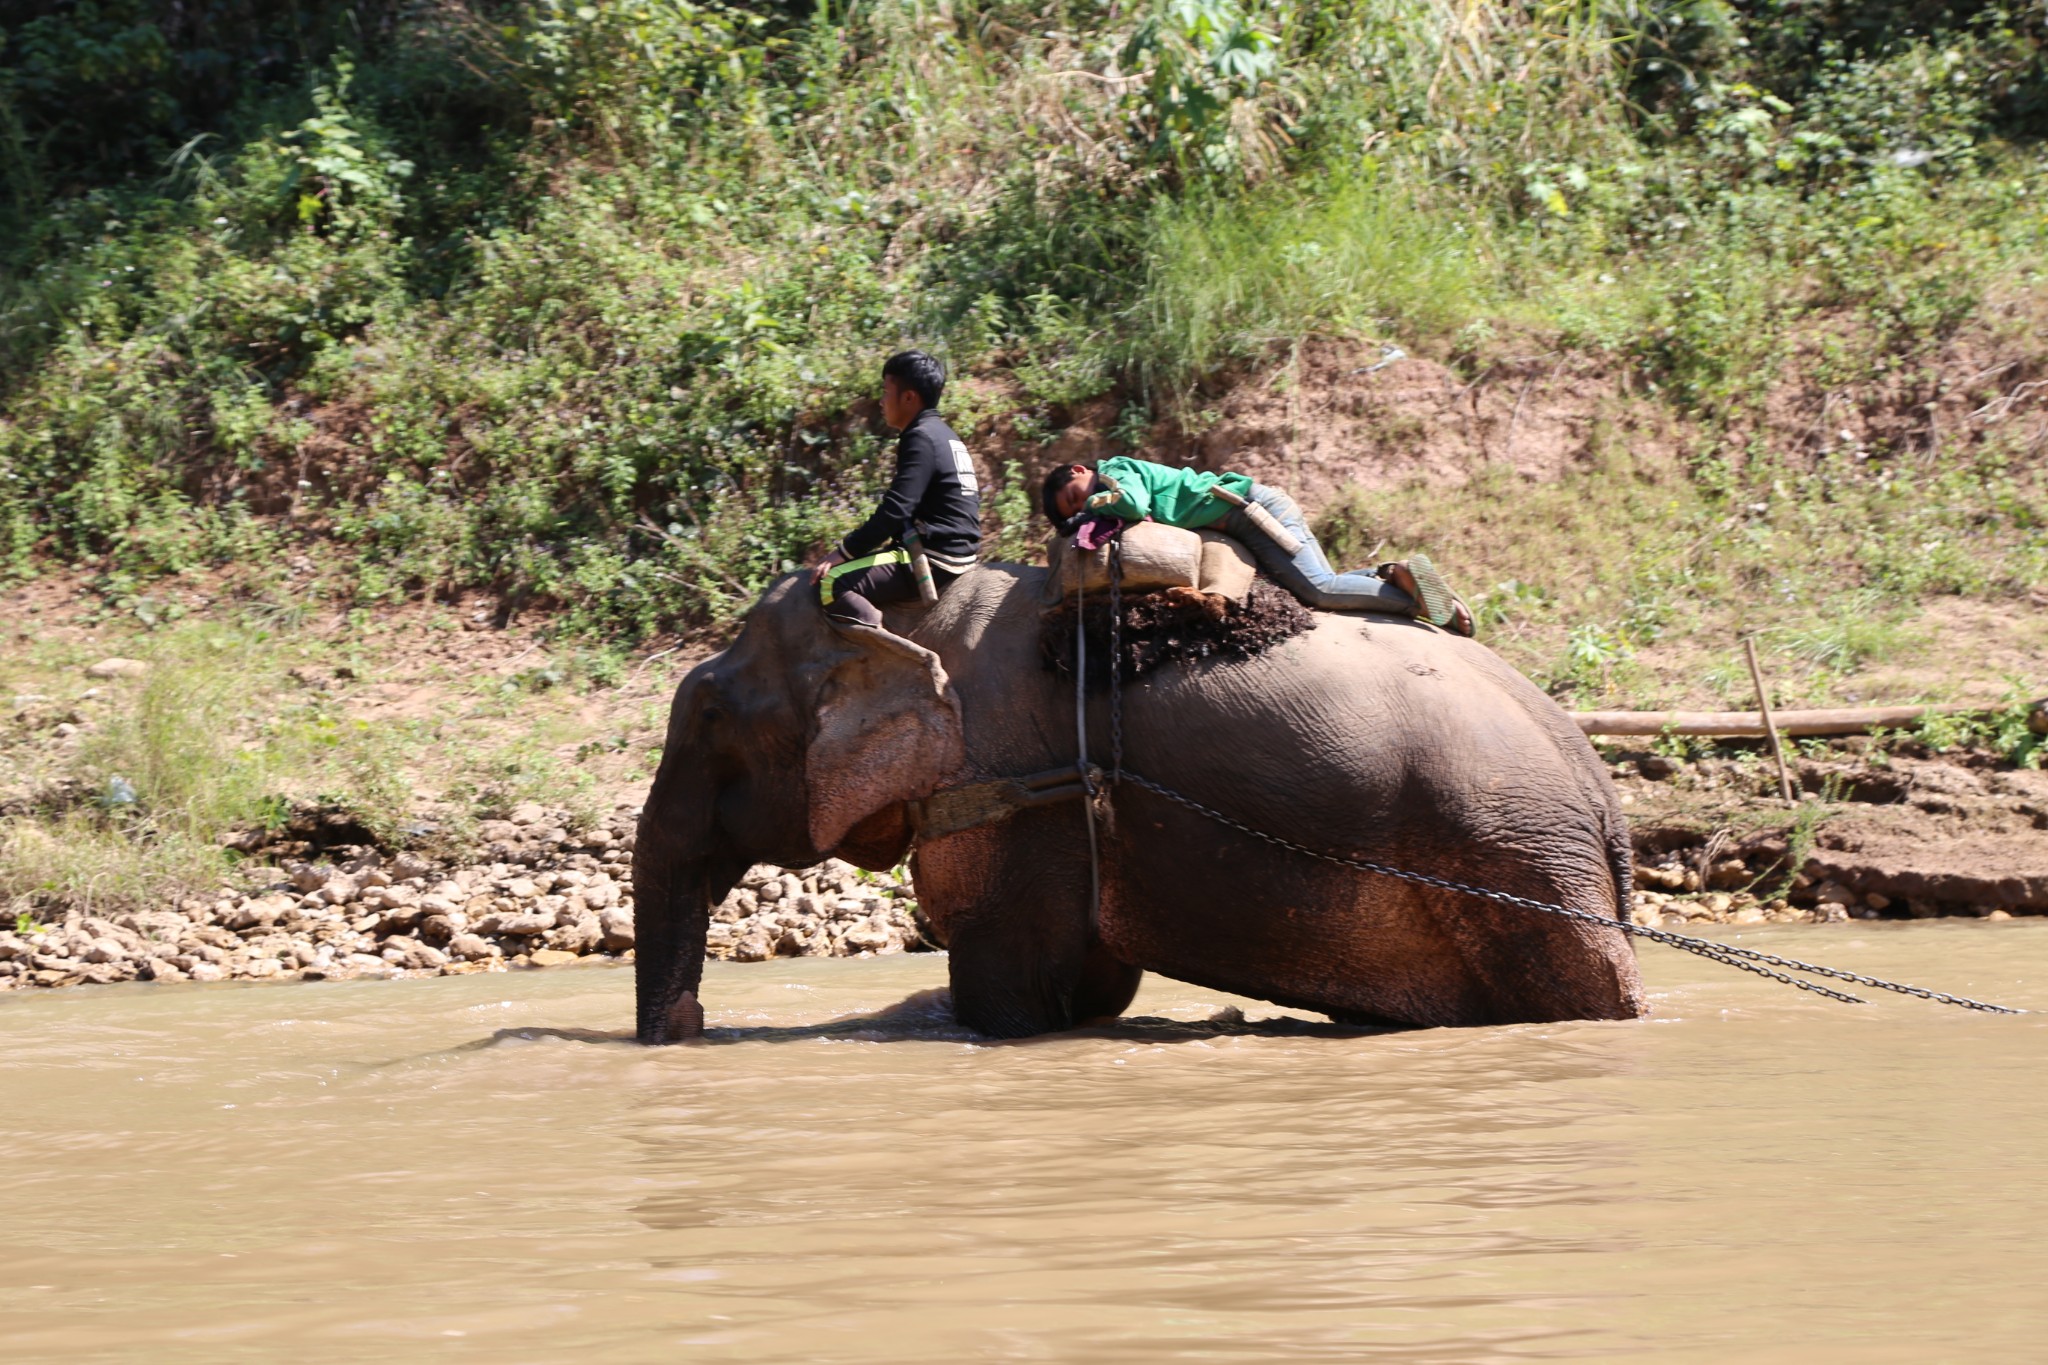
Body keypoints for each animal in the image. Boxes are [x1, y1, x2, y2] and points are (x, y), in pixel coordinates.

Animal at [634, 564, 1646, 1047]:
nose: (687, 1028)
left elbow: (1010, 995)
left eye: (711, 717)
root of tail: (1605, 800)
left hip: (1519, 861)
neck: (902, 619)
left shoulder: (1013, 791)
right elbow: (1088, 991)